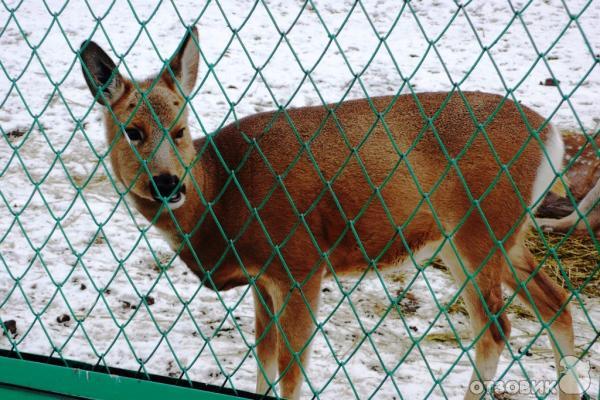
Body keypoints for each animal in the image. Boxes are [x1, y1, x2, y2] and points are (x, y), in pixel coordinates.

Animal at [78, 26, 580, 398]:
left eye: (180, 129)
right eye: (133, 131)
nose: (168, 184)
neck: (222, 193)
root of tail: (551, 136)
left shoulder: (301, 262)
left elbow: (290, 372)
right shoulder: (263, 279)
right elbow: (263, 361)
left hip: (480, 231)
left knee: (495, 329)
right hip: (490, 237)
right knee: (555, 303)